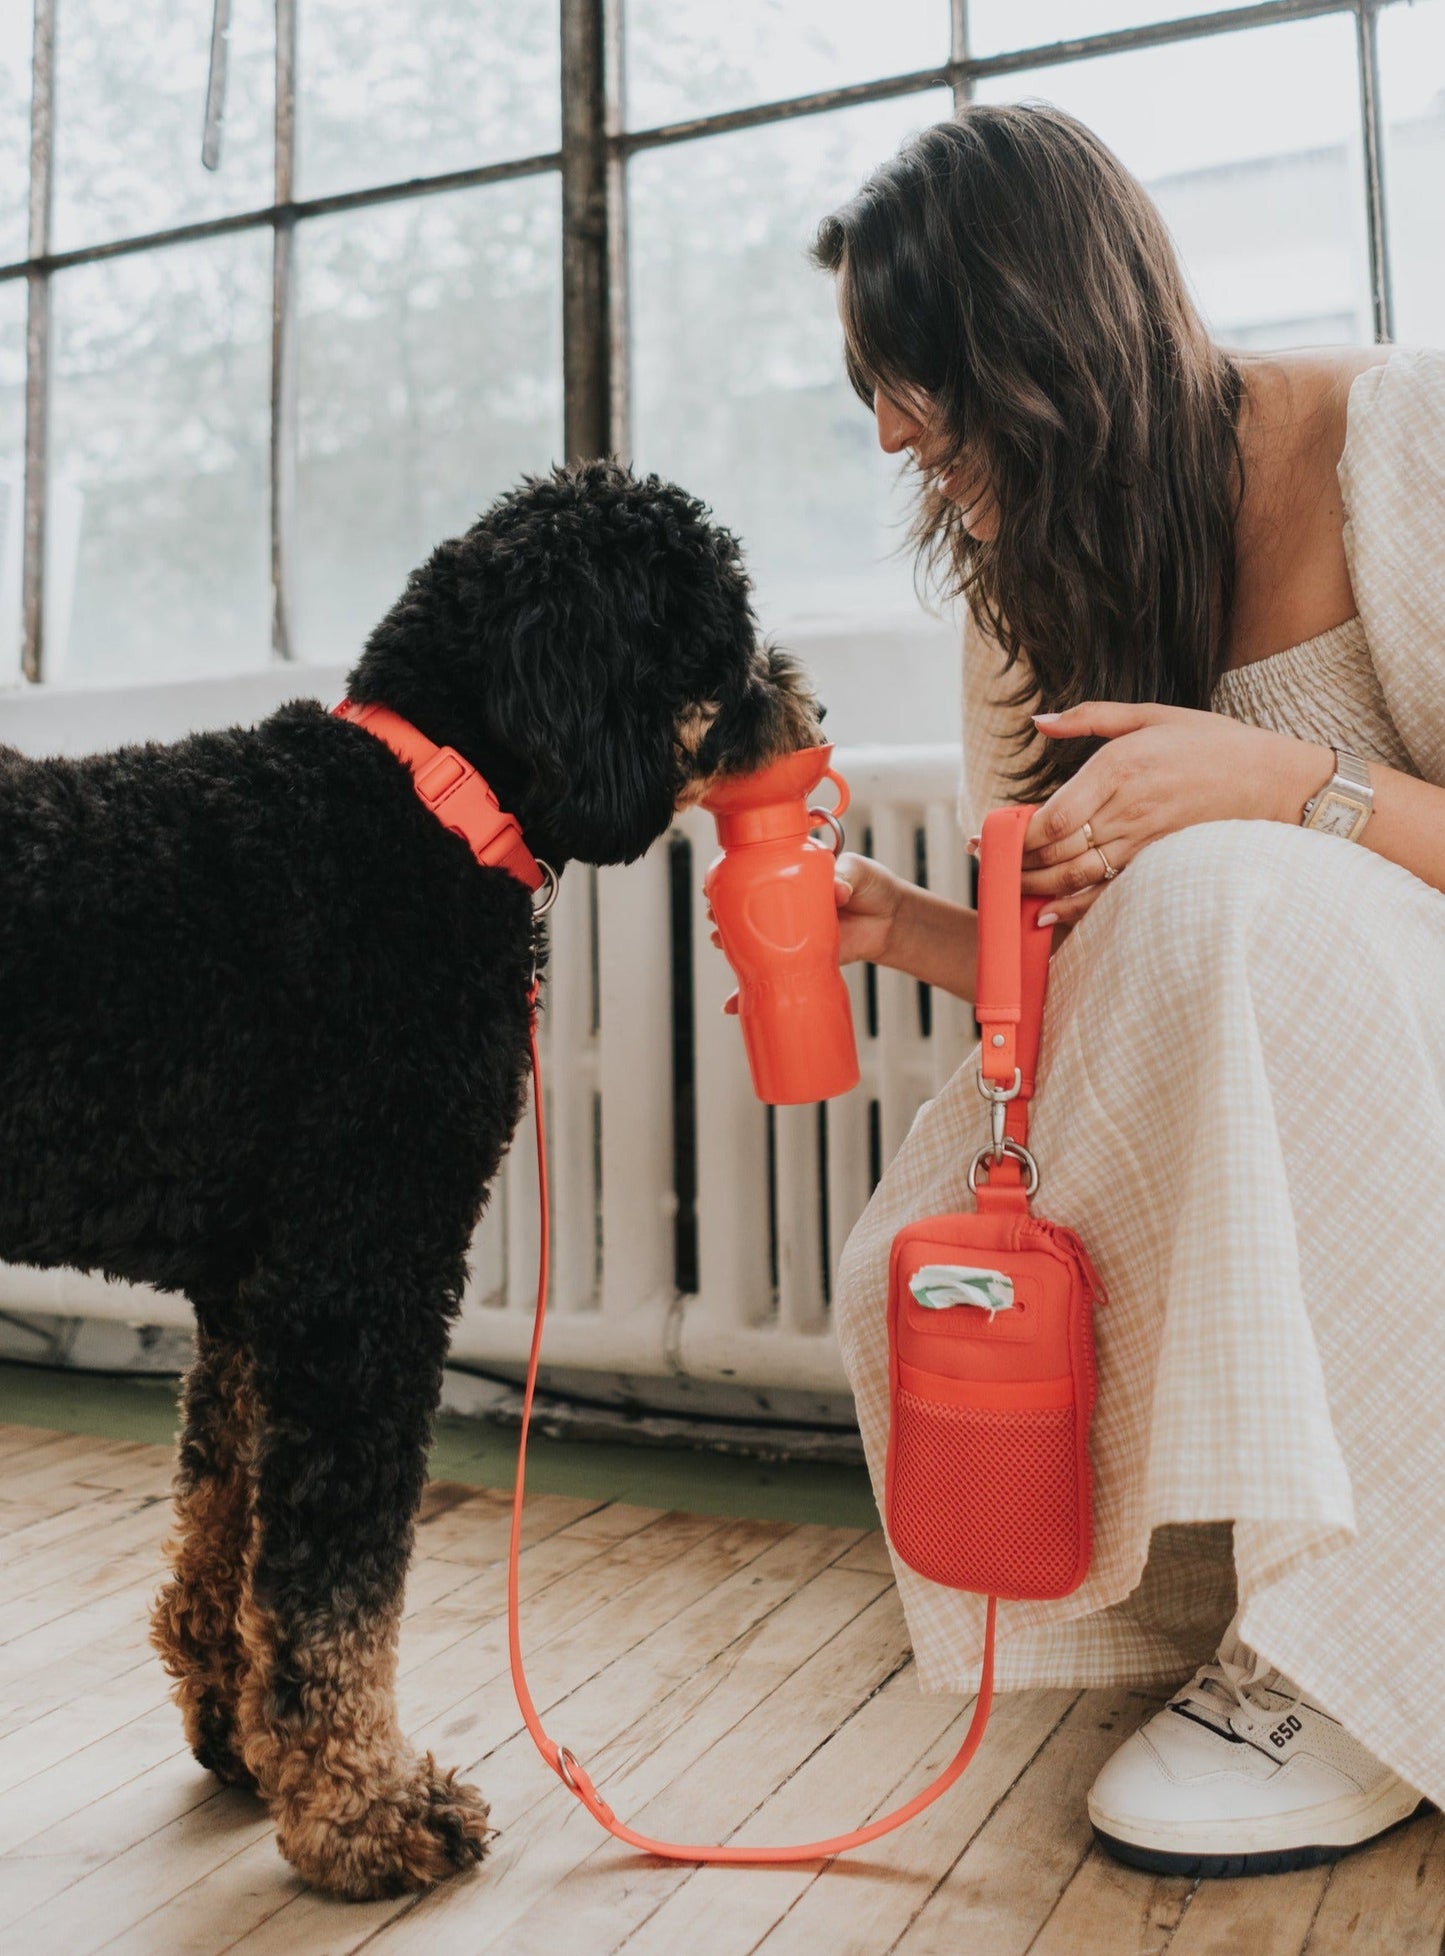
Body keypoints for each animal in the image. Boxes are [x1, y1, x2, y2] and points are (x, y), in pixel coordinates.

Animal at [0, 461, 821, 1893]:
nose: (807, 706)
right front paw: (365, 1810)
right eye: (718, 635)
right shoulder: (362, 1274)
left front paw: (234, 1730)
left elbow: (227, 1525)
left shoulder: (252, 1295)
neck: (429, 803)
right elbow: (340, 1580)